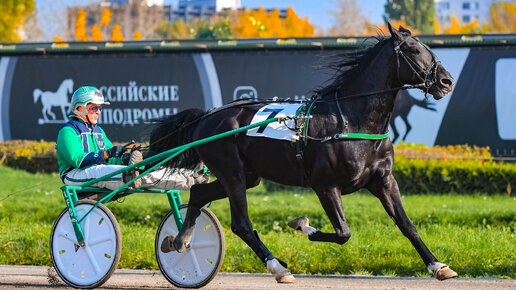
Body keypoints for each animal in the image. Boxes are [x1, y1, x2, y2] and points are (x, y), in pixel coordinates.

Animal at [148, 24, 456, 284]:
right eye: (414, 50)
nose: (446, 81)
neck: (353, 121)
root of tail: (206, 116)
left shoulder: (383, 180)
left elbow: (407, 225)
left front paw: (438, 266)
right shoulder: (325, 185)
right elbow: (343, 233)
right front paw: (302, 225)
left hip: (247, 176)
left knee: (198, 194)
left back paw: (179, 240)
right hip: (231, 172)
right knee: (241, 224)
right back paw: (278, 267)